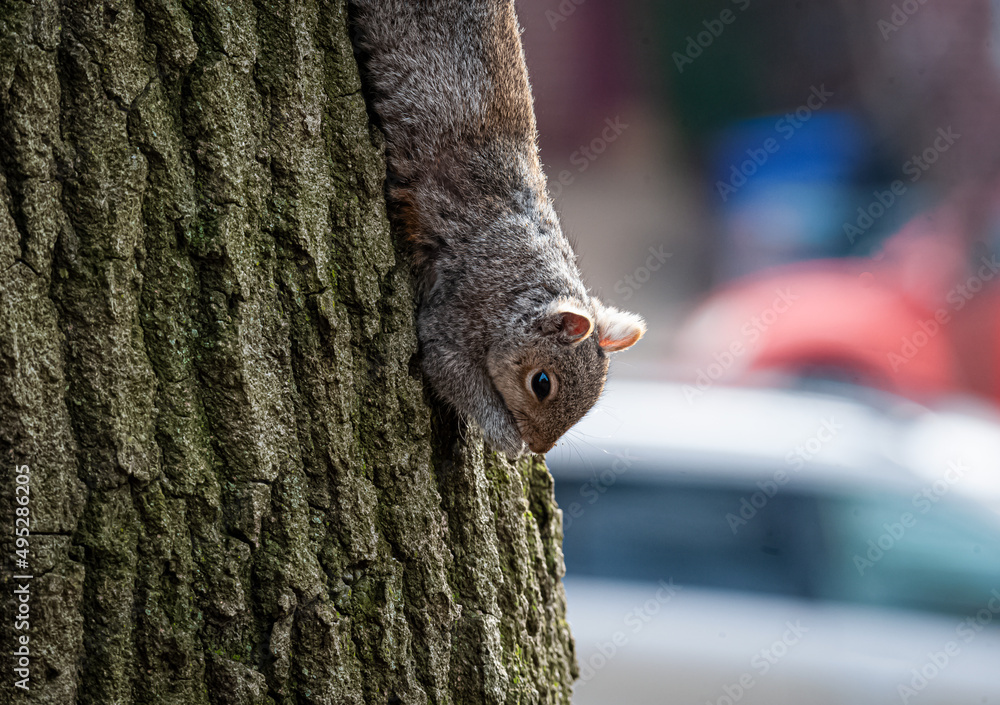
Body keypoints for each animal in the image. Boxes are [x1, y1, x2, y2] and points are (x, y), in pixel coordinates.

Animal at [348, 0, 646, 456]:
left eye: (594, 400)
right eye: (541, 383)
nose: (540, 449)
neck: (522, 280)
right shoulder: (462, 309)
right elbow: (448, 365)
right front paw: (508, 441)